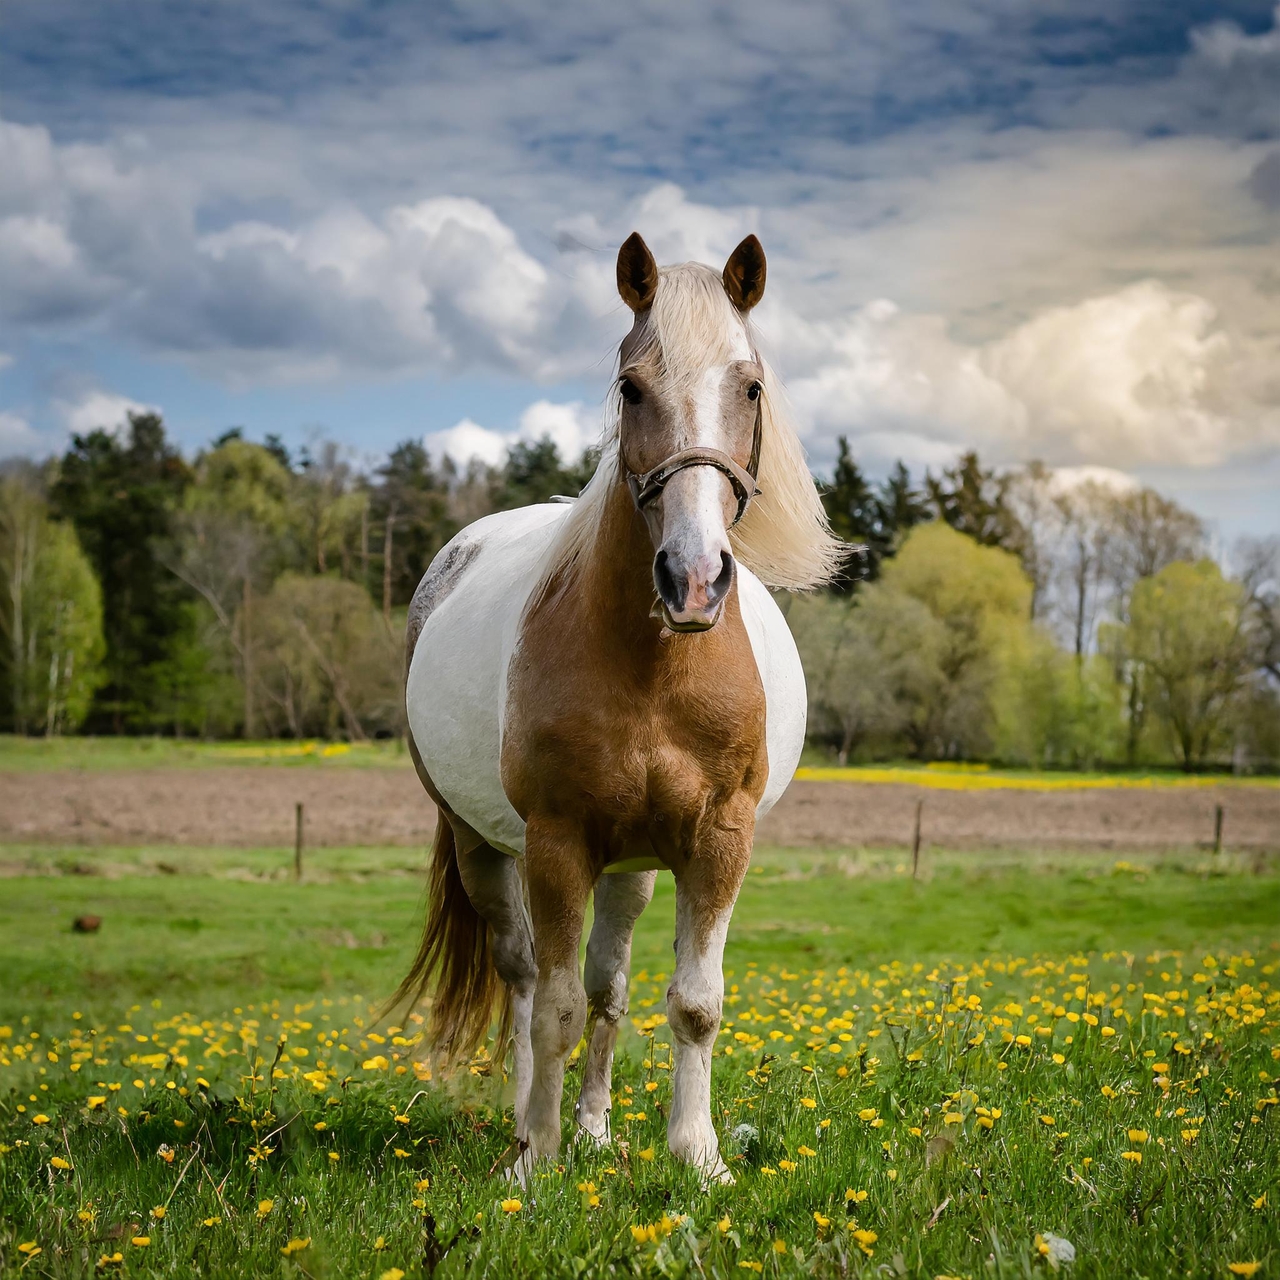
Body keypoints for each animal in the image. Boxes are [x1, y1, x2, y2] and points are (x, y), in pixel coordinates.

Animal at [393, 232, 843, 1183]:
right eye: (632, 387)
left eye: (751, 386)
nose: (694, 578)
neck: (655, 667)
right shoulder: (558, 841)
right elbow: (555, 1009)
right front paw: (535, 1162)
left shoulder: (717, 840)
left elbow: (692, 1002)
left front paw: (697, 1154)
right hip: (483, 844)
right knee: (529, 982)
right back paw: (528, 1127)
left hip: (632, 865)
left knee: (609, 984)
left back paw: (596, 1129)